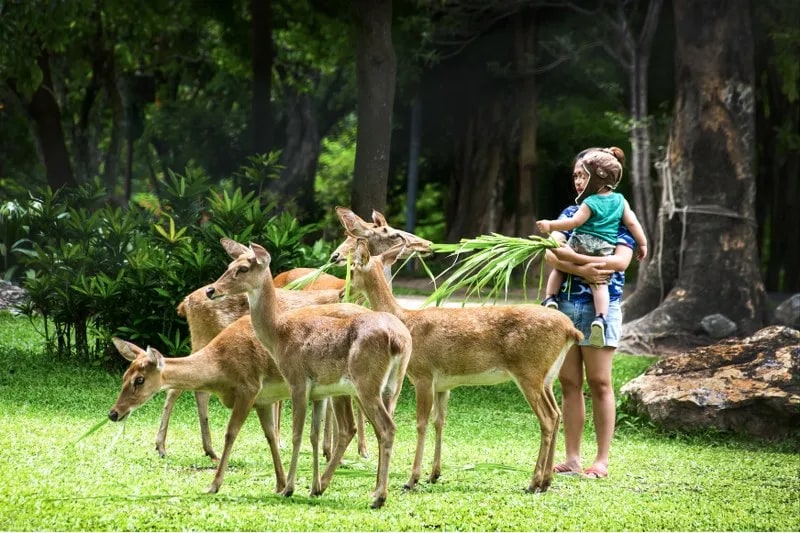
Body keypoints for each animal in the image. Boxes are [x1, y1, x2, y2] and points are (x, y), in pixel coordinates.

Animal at [203, 239, 416, 510]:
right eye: (229, 265)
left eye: (242, 268)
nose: (211, 290)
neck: (279, 334)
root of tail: (398, 340)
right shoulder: (319, 391)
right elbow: (313, 434)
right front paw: (312, 487)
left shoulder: (297, 381)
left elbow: (297, 434)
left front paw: (289, 489)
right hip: (391, 386)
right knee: (378, 428)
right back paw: (370, 489)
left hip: (366, 383)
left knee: (386, 428)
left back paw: (379, 497)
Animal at [346, 238, 584, 494]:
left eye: (352, 269)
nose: (345, 291)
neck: (406, 322)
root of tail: (571, 330)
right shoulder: (443, 384)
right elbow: (439, 422)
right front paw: (434, 474)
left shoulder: (423, 375)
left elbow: (421, 424)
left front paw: (412, 479)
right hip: (547, 376)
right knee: (557, 414)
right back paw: (546, 481)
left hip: (529, 371)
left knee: (548, 418)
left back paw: (533, 482)